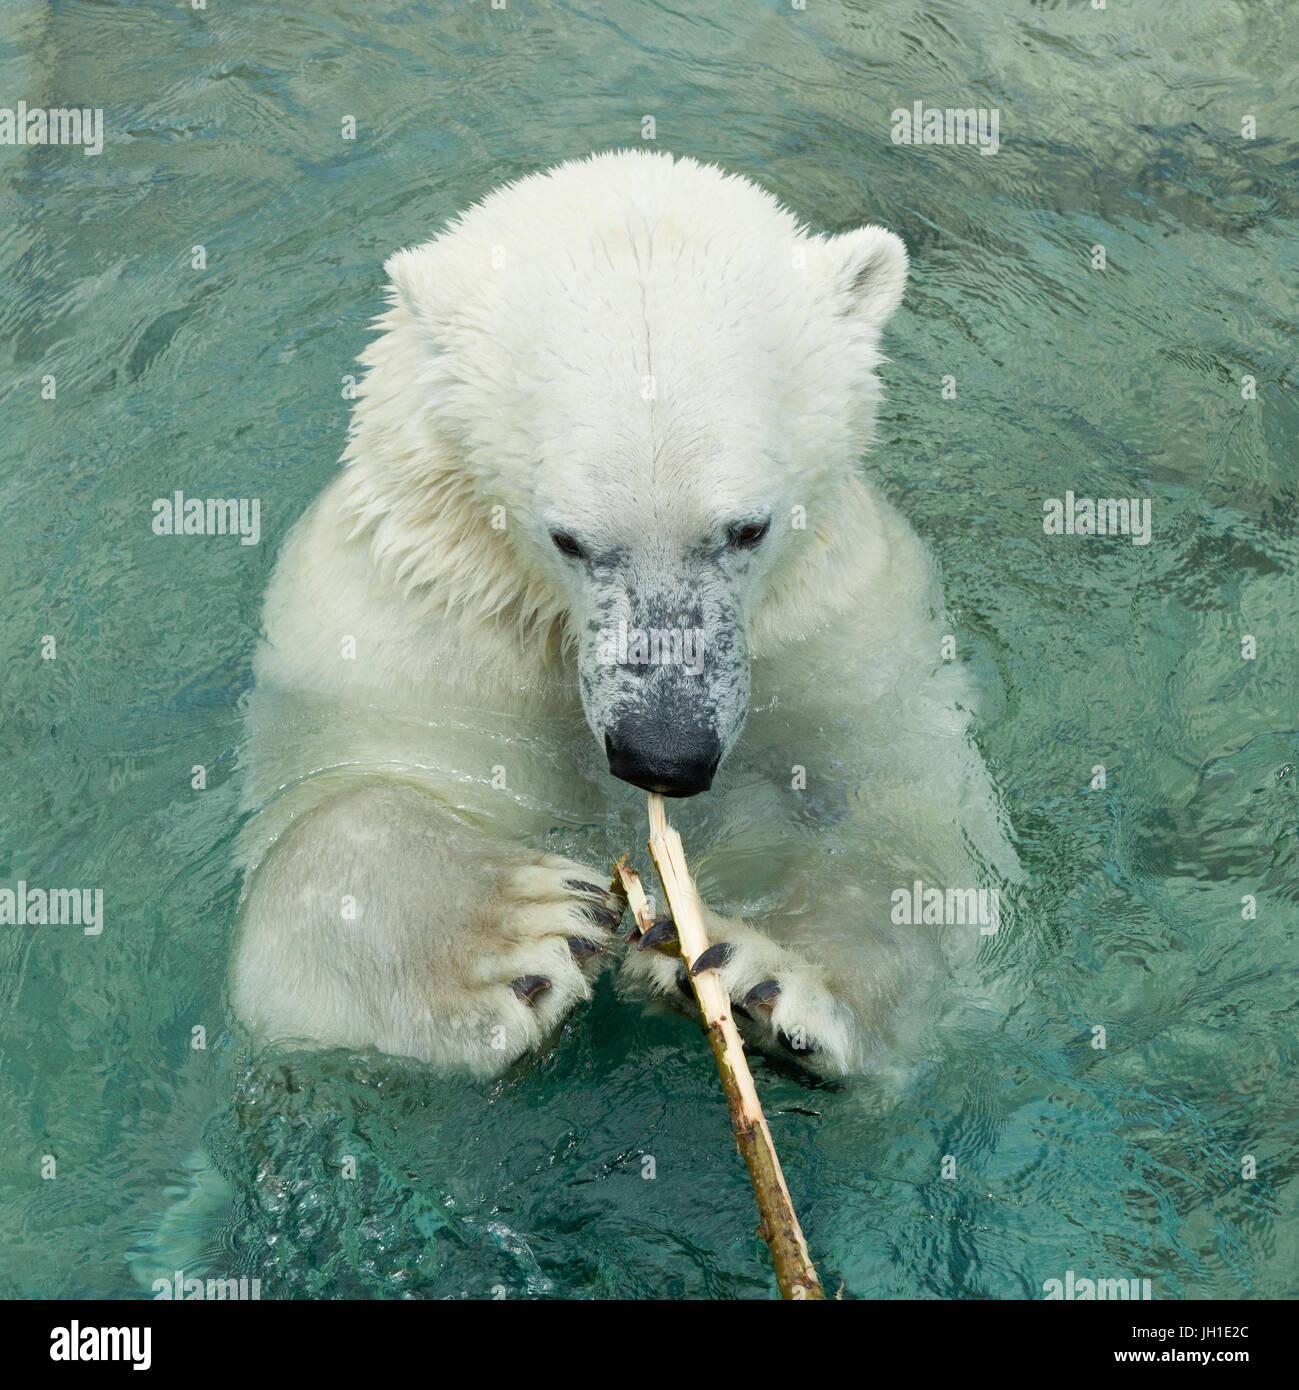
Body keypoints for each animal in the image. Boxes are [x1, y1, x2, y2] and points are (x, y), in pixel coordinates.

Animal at [236, 154, 1028, 1084]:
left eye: (747, 528)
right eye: (568, 539)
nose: (665, 753)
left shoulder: (842, 626)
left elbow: (906, 825)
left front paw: (768, 977)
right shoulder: (412, 622)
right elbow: (338, 804)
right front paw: (517, 935)